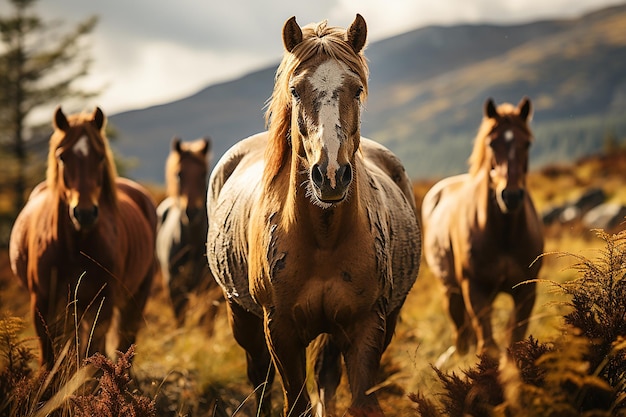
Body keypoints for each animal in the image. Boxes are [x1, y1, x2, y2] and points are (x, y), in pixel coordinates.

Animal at [9, 105, 156, 368]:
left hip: (135, 296)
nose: (85, 213)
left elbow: (93, 353)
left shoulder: (102, 302)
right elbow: (50, 356)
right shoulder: (42, 303)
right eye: (62, 156)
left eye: (100, 156)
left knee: (125, 341)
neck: (74, 246)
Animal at [206, 14, 420, 416]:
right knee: (259, 378)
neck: (323, 238)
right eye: (294, 90)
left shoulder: (367, 326)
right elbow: (295, 401)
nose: (331, 174)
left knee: (325, 378)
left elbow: (359, 400)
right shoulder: (280, 331)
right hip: (241, 316)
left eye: (356, 90)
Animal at [420, 96, 540, 358]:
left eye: (527, 143)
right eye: (492, 143)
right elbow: (488, 345)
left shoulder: (526, 293)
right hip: (451, 292)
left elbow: (514, 339)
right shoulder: (475, 290)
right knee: (461, 334)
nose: (511, 195)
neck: (503, 234)